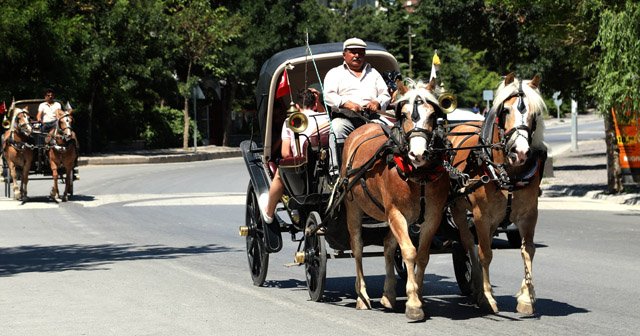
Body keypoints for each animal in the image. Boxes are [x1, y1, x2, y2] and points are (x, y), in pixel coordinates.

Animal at [340, 82, 450, 320]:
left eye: (432, 115)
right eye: (405, 115)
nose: (418, 153)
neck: (419, 174)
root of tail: (364, 127)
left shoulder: (432, 216)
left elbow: (422, 255)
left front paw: (417, 296)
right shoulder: (396, 213)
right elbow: (409, 251)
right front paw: (414, 304)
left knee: (388, 244)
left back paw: (388, 294)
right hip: (353, 207)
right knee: (357, 247)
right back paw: (361, 296)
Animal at [448, 73, 548, 316]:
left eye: (535, 113)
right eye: (506, 111)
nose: (520, 152)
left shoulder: (529, 215)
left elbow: (528, 250)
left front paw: (527, 298)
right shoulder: (481, 216)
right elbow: (485, 253)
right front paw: (486, 297)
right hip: (459, 210)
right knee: (469, 244)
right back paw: (477, 287)